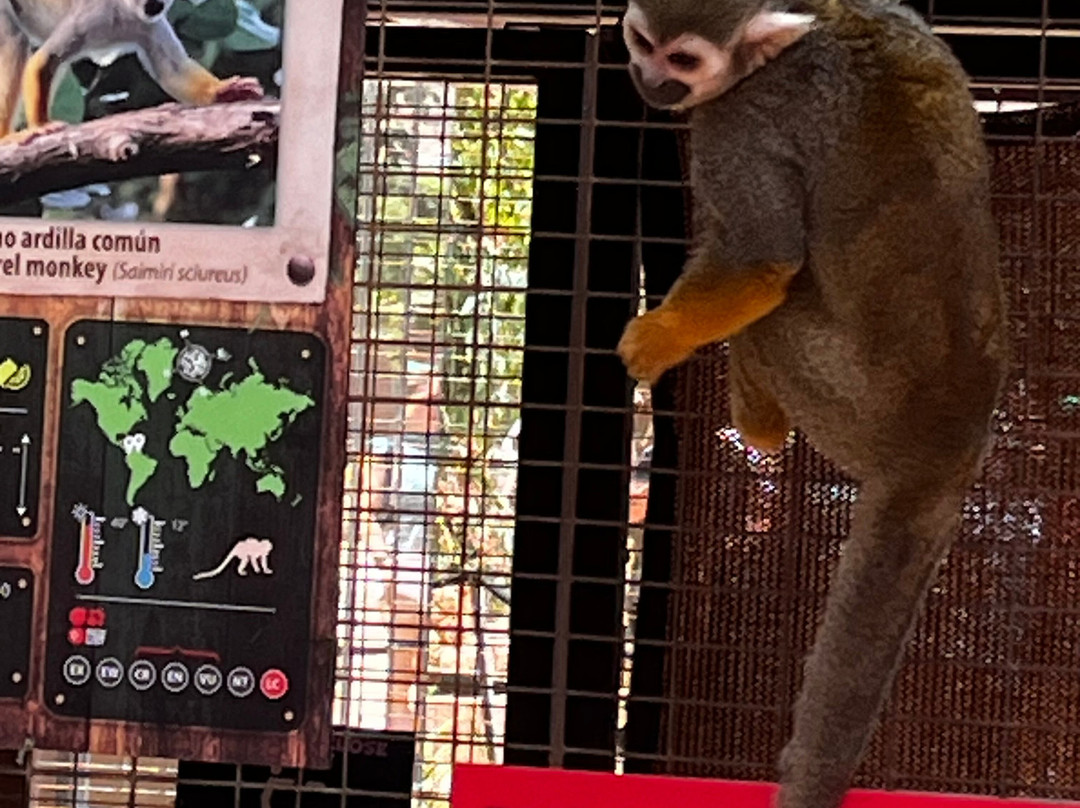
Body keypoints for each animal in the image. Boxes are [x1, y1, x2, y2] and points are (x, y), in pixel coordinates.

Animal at [0, 0, 263, 142]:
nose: (156, 3)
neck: (123, 9)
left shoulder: (150, 23)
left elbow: (171, 71)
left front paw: (223, 91)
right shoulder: (91, 15)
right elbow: (45, 61)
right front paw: (41, 126)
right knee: (14, 40)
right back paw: (5, 138)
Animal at [616, 2, 1008, 807]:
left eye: (684, 60)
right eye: (643, 42)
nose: (651, 83)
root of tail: (945, 443)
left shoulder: (742, 120)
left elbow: (763, 260)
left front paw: (654, 340)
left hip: (849, 404)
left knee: (778, 307)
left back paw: (759, 423)